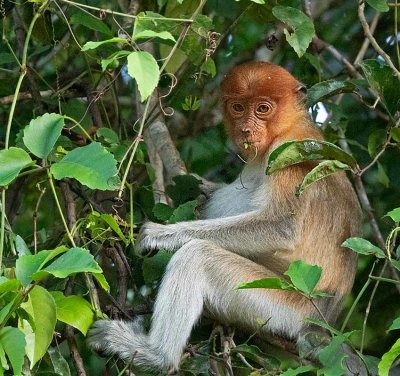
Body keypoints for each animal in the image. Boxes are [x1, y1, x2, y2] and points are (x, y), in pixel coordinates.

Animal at [88, 62, 362, 374]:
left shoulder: (292, 153)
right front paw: (198, 189)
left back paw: (155, 355)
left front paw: (158, 235)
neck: (287, 127)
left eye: (263, 109)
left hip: (284, 306)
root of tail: (323, 324)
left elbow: (283, 227)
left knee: (197, 256)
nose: (246, 129)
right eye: (238, 107)